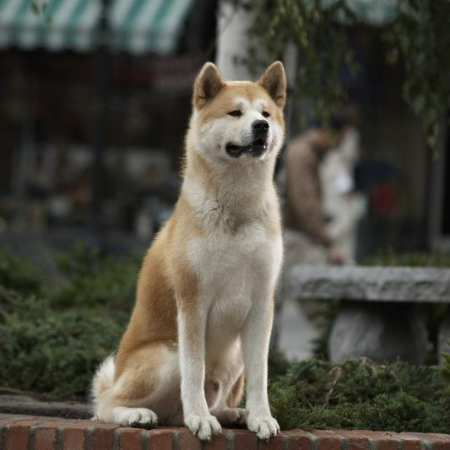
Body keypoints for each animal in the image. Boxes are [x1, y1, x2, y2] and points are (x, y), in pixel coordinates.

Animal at [92, 59, 286, 440]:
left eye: (266, 113)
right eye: (235, 112)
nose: (261, 126)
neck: (236, 211)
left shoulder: (261, 303)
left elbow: (261, 375)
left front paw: (261, 417)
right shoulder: (193, 300)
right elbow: (194, 371)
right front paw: (199, 418)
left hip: (233, 355)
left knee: (205, 402)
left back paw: (232, 414)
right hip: (166, 356)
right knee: (106, 405)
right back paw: (140, 414)